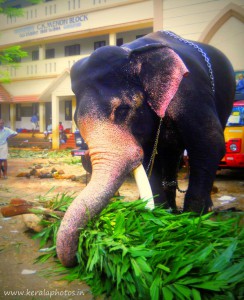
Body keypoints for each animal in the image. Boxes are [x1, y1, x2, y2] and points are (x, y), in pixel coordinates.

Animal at [56, 30, 235, 268]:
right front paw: (163, 218)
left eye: (123, 110)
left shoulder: (191, 93)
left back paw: (206, 212)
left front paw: (192, 228)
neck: (132, 51)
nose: (77, 257)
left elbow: (210, 142)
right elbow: (152, 159)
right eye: (76, 121)